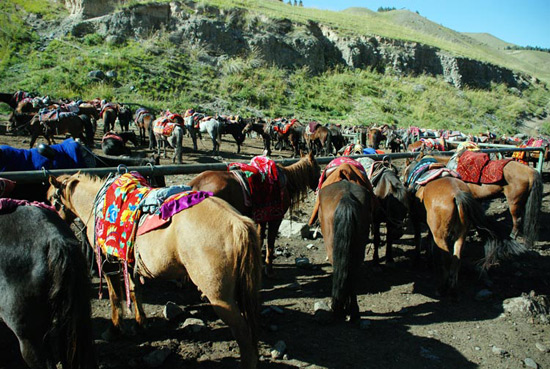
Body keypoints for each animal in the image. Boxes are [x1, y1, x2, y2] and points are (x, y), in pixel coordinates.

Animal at [47, 173, 264, 368]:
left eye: (50, 199)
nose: (53, 220)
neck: (98, 205)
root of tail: (238, 223)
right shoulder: (130, 264)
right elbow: (134, 291)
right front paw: (140, 323)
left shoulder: (110, 265)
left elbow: (115, 297)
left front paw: (115, 329)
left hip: (221, 298)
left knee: (243, 334)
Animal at [190, 151, 322, 274]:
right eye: (319, 169)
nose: (318, 188)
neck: (287, 182)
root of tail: (195, 184)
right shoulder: (275, 219)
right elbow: (270, 243)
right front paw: (268, 269)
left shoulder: (262, 218)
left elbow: (260, 239)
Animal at [404, 159, 528, 296]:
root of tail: (458, 194)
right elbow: (429, 241)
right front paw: (429, 260)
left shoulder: (416, 219)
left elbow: (418, 238)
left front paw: (417, 261)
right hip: (461, 233)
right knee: (456, 257)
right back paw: (453, 287)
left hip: (441, 236)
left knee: (447, 258)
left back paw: (441, 288)